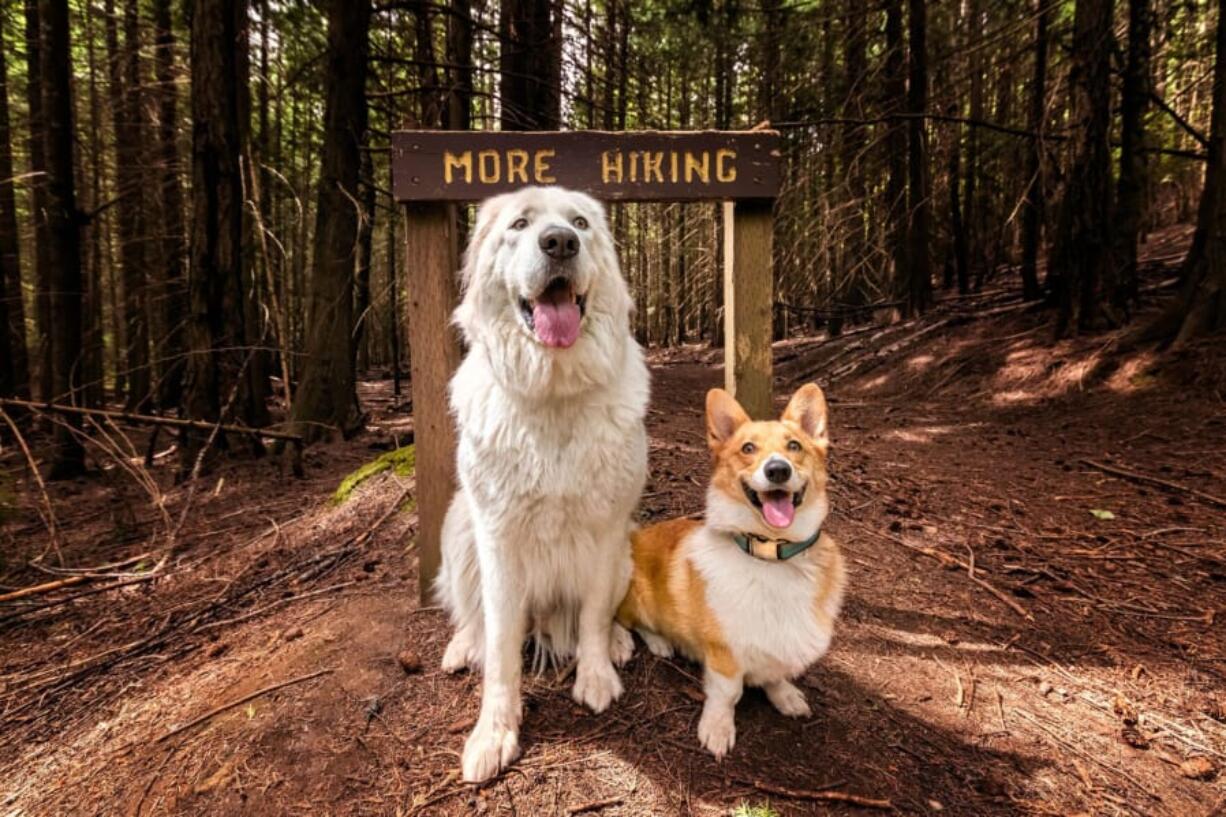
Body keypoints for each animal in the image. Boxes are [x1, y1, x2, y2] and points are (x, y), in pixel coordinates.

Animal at [434, 187, 647, 780]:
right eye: (520, 225)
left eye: (580, 223)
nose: (560, 243)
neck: (552, 392)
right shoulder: (498, 542)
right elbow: (502, 646)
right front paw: (495, 732)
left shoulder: (604, 533)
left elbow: (594, 614)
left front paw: (595, 676)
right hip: (459, 531)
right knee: (473, 617)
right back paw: (463, 646)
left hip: (628, 549)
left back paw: (619, 641)